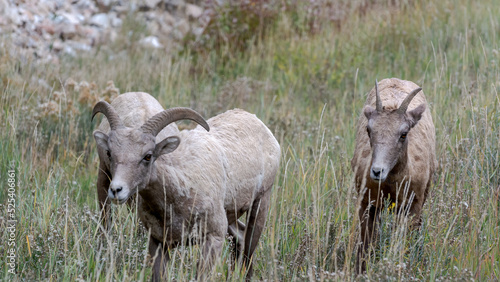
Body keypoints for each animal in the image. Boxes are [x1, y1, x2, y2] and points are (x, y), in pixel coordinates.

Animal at [93, 92, 282, 280]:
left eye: (148, 156)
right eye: (110, 153)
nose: (116, 190)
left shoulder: (213, 238)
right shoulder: (158, 242)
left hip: (260, 204)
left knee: (248, 248)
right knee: (240, 238)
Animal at [350, 78, 436, 272]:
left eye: (403, 134)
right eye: (369, 130)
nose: (377, 171)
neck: (390, 185)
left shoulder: (413, 206)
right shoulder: (367, 204)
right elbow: (365, 247)